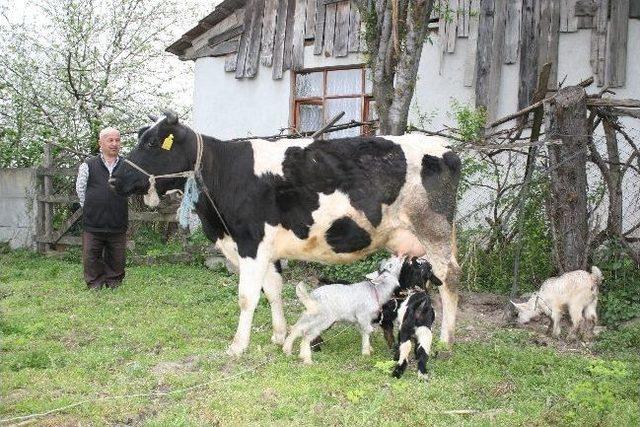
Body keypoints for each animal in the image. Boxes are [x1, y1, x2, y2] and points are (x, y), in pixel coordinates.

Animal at [110, 112, 460, 356]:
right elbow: (273, 291)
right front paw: (279, 335)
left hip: (434, 232)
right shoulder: (265, 247)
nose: (114, 179)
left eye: (152, 143)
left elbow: (247, 296)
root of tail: (445, 148)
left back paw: (445, 341)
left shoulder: (251, 243)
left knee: (449, 282)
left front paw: (238, 346)